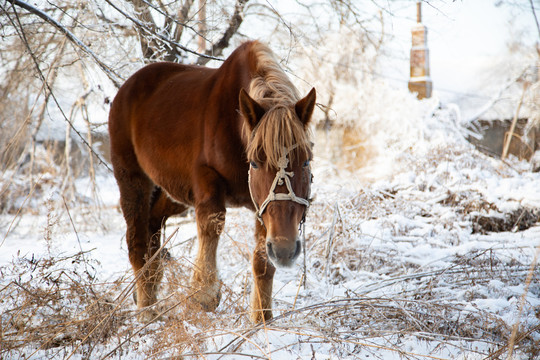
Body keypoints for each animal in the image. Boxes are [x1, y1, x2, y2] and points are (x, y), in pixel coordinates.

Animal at [107, 40, 314, 322]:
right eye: (255, 163)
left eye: (305, 162)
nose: (285, 249)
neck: (236, 126)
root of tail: (127, 87)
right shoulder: (206, 181)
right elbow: (212, 223)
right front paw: (203, 292)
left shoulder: (262, 207)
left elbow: (262, 262)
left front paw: (262, 319)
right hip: (133, 181)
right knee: (137, 243)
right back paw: (148, 312)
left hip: (174, 193)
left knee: (153, 224)